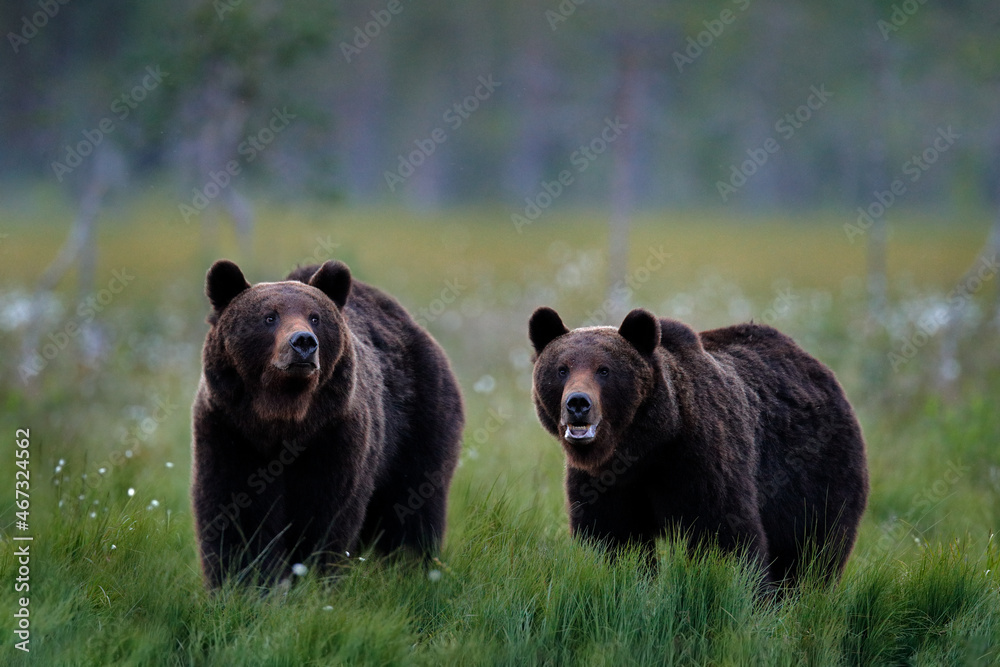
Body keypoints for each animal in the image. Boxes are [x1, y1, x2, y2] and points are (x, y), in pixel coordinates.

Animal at [191, 260, 464, 588]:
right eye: (269, 316)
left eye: (315, 317)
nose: (303, 342)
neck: (284, 419)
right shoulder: (231, 431)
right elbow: (236, 510)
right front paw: (244, 582)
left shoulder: (334, 434)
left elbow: (325, 513)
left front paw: (311, 579)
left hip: (419, 419)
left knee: (414, 501)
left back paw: (412, 566)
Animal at [532, 308, 868, 584]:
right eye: (561, 369)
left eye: (604, 370)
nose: (577, 403)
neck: (644, 447)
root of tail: (817, 366)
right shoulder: (605, 482)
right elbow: (612, 536)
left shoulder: (698, 460)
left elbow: (723, 534)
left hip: (815, 471)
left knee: (813, 547)